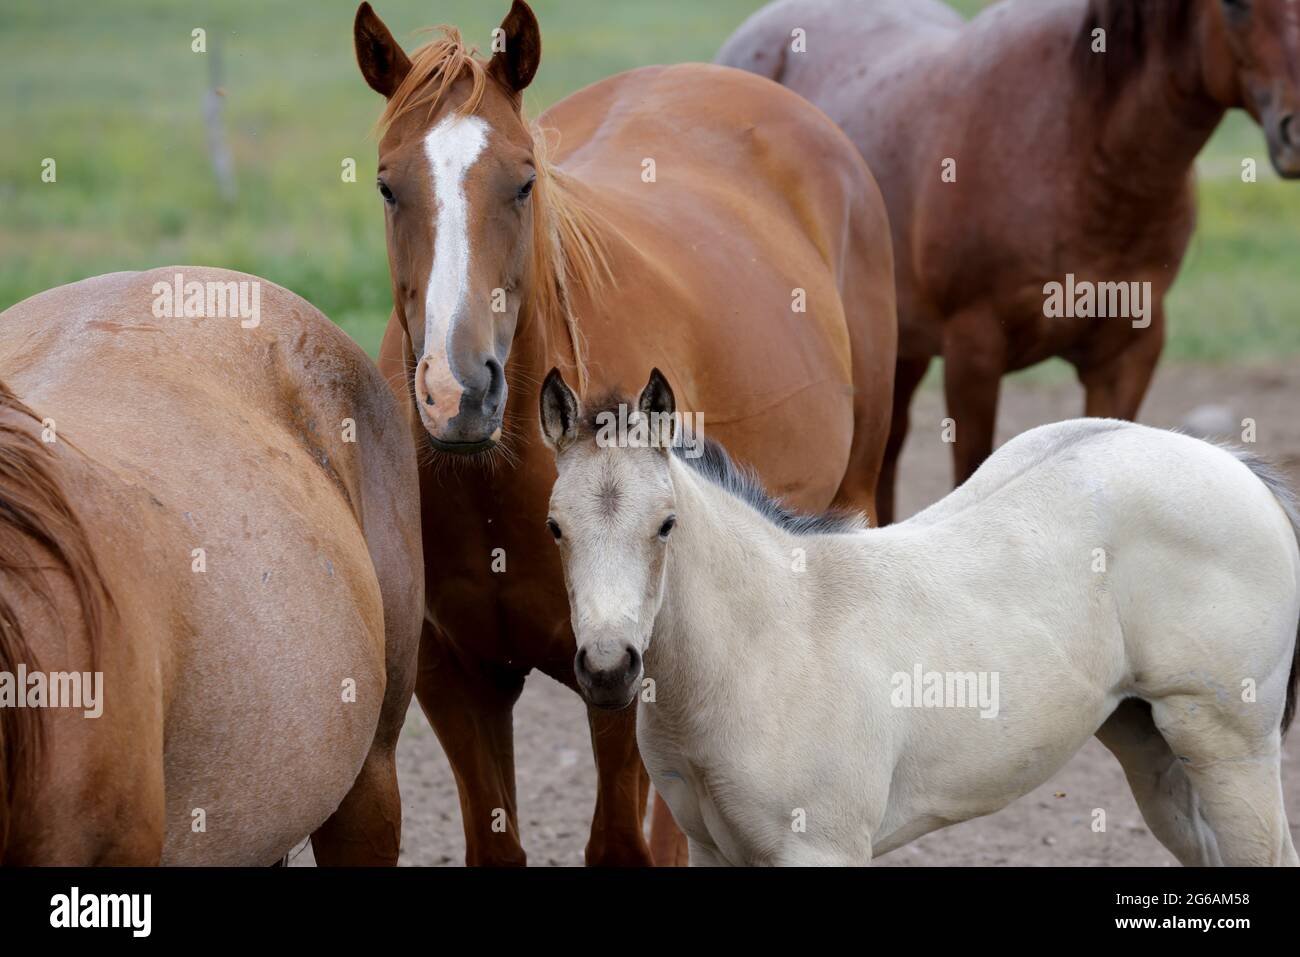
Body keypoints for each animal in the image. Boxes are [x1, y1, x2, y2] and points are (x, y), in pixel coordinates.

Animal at [353, 0, 897, 864]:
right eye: (386, 185)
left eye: (524, 181)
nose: (458, 390)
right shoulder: (456, 677)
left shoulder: (620, 672)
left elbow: (621, 845)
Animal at [539, 367, 1300, 866]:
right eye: (553, 527)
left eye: (665, 524)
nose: (607, 668)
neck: (769, 645)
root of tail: (1234, 465)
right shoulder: (710, 849)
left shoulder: (820, 849)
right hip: (1150, 743)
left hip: (1230, 747)